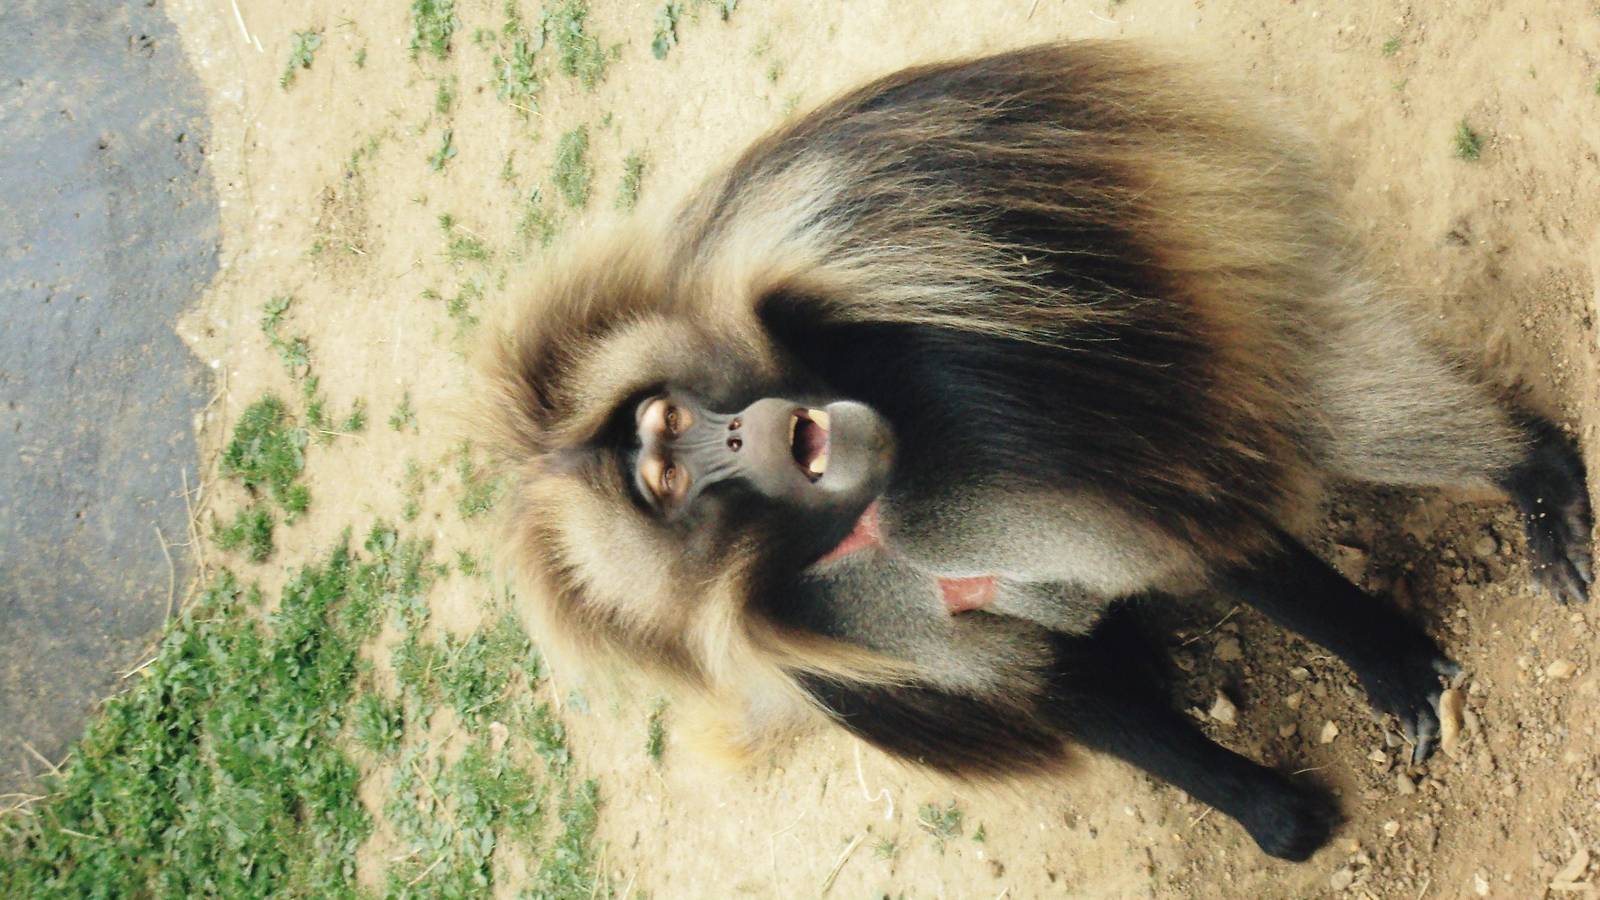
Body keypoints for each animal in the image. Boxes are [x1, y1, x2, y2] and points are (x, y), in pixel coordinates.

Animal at [481, 43, 1594, 861]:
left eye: (667, 430)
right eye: (672, 478)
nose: (740, 433)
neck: (866, 524)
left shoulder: (954, 394)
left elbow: (1193, 528)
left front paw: (1392, 663)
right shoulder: (839, 632)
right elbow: (1059, 681)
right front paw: (1268, 814)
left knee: (1316, 400)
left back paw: (1536, 478)